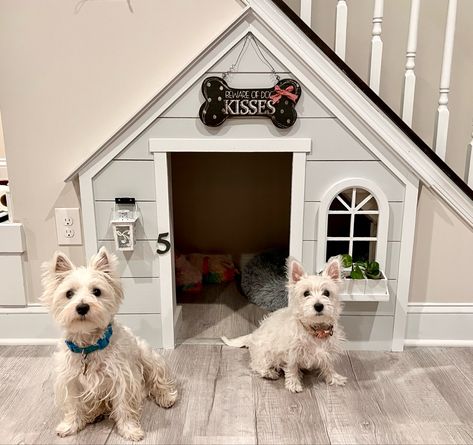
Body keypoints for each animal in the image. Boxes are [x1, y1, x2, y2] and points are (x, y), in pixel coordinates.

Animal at [40, 246, 177, 440]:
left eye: (97, 291)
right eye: (69, 293)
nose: (82, 307)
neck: (88, 346)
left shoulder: (122, 378)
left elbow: (124, 407)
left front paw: (130, 430)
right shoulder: (70, 380)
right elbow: (74, 406)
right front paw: (69, 426)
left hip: (148, 357)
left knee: (158, 380)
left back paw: (166, 397)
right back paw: (93, 414)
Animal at [221, 256, 342, 392]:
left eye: (326, 293)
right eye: (306, 293)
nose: (318, 306)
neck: (315, 329)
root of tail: (253, 335)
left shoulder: (329, 349)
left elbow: (329, 365)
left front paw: (334, 378)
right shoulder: (291, 352)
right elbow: (292, 368)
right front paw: (294, 383)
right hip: (265, 352)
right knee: (256, 364)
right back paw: (268, 372)